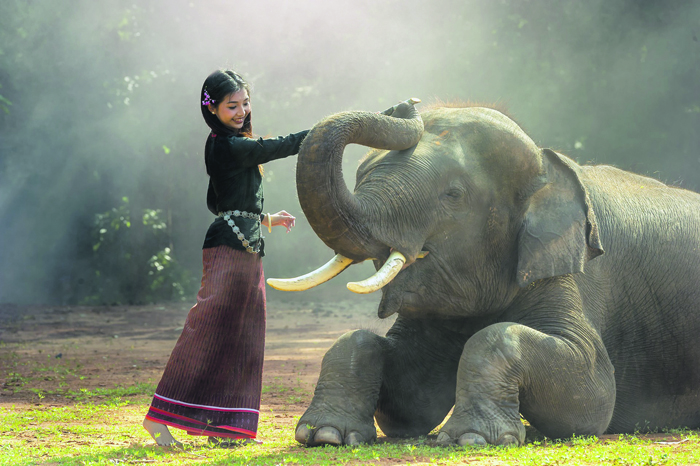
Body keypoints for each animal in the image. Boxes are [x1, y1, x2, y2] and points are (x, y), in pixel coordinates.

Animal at [268, 99, 700, 447]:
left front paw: (472, 439)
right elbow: (409, 400)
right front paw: (325, 435)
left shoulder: (565, 269)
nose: (405, 104)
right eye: (360, 177)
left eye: (453, 195)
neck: (547, 164)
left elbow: (592, 393)